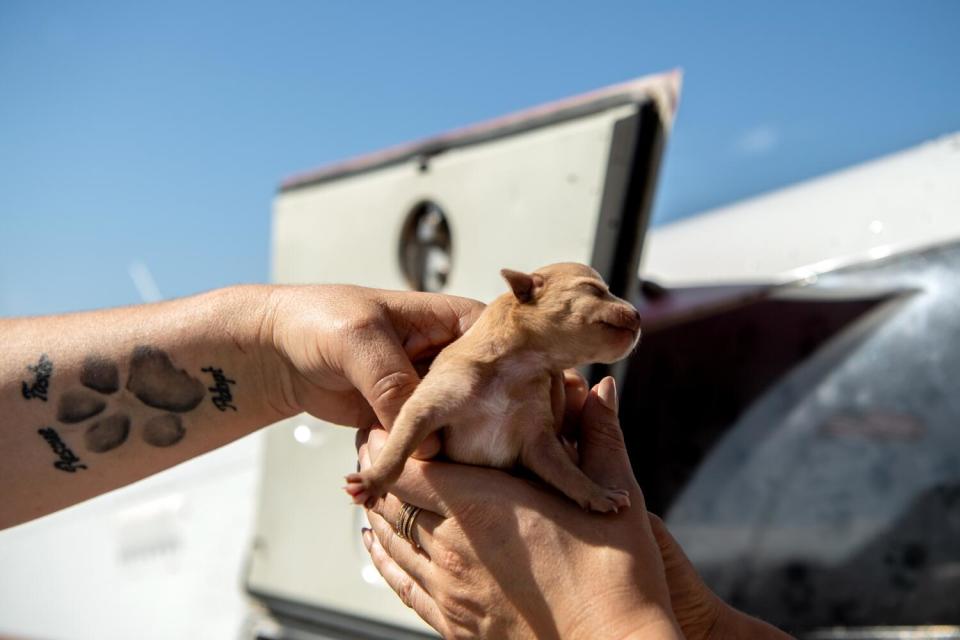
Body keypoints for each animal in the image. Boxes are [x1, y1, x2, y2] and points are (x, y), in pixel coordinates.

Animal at [342, 262, 640, 512]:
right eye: (594, 290)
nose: (638, 314)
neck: (520, 367)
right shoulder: (426, 407)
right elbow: (399, 446)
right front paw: (373, 480)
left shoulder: (539, 441)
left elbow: (567, 472)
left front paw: (598, 493)